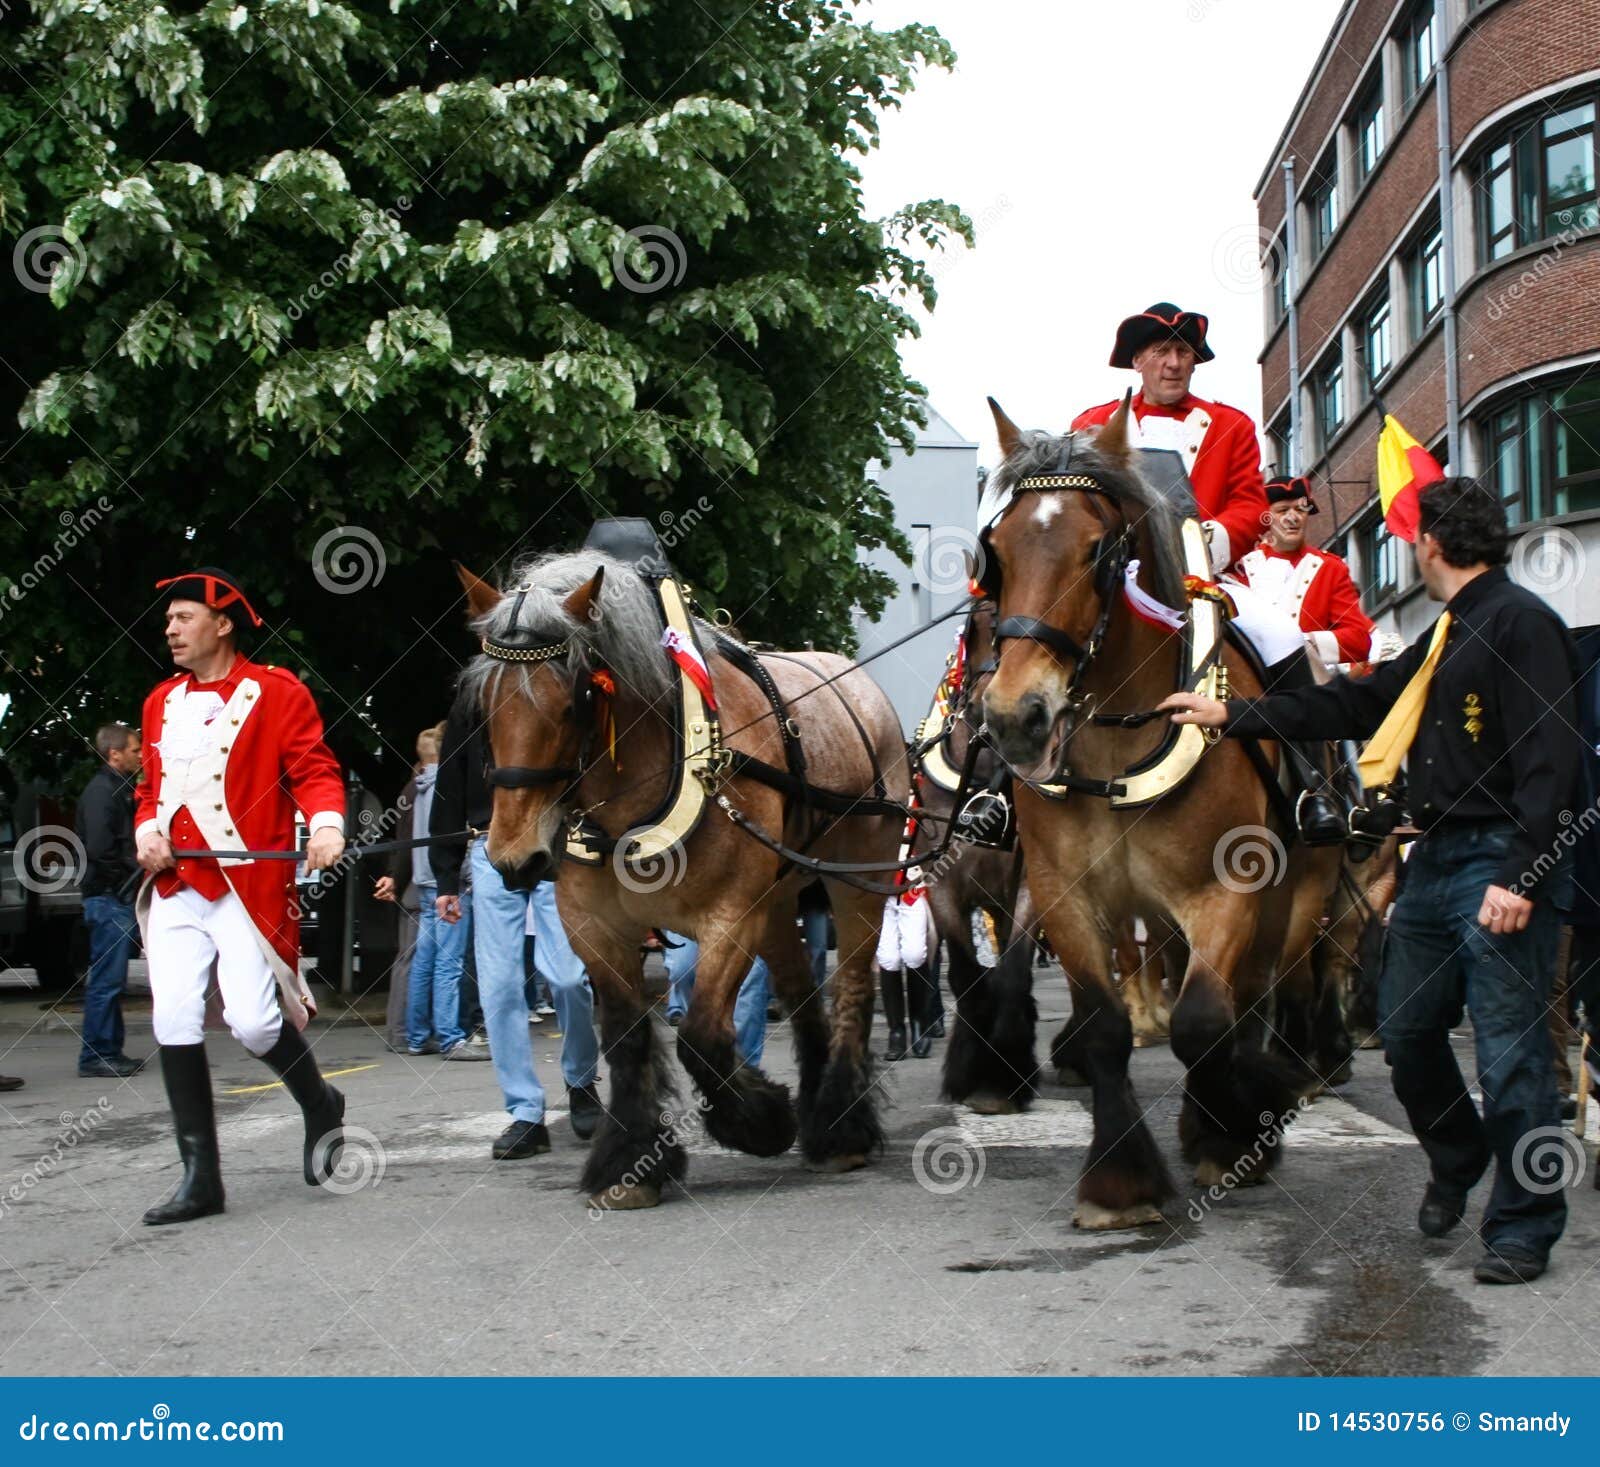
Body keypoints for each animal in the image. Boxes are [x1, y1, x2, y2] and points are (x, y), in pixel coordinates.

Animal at [457, 543, 915, 1209]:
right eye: (485, 706)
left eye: (573, 701)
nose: (515, 858)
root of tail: (859, 683)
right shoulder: (594, 928)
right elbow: (626, 1037)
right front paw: (629, 1164)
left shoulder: (730, 917)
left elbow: (700, 1035)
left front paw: (761, 1120)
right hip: (779, 898)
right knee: (803, 993)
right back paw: (819, 1114)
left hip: (857, 875)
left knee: (853, 985)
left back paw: (840, 1130)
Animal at [979, 398, 1344, 1222]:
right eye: (998, 555)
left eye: (1097, 552)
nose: (1018, 717)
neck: (1118, 741)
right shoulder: (1066, 894)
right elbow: (1106, 1029)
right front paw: (1121, 1180)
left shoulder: (1225, 890)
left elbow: (1203, 1022)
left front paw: (1230, 1137)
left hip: (1298, 896)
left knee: (1256, 999)